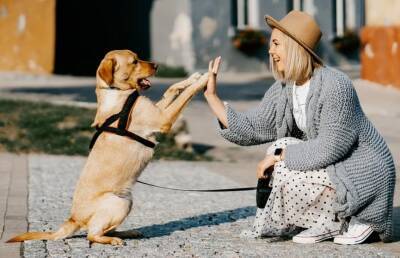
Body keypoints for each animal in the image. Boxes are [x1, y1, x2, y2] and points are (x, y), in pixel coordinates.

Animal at [6, 50, 209, 246]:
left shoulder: (158, 110)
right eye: (134, 61)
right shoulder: (162, 119)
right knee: (92, 234)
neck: (117, 93)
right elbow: (185, 95)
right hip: (118, 202)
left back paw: (128, 233)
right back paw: (113, 240)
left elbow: (172, 89)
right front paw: (205, 79)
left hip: (127, 201)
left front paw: (193, 77)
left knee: (103, 230)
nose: (157, 65)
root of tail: (73, 219)